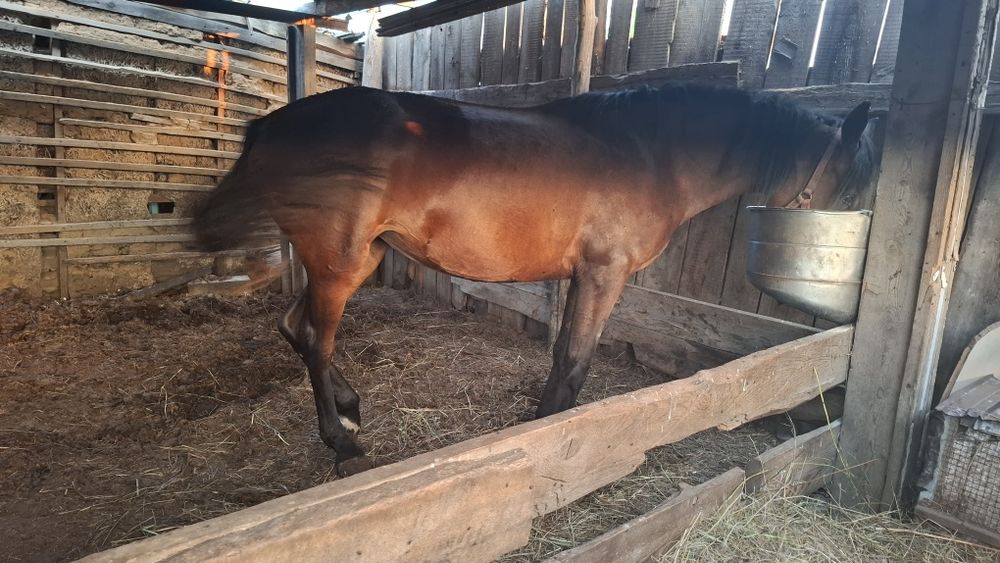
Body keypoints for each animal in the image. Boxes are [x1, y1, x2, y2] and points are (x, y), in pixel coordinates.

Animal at [192, 82, 877, 476]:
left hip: (349, 261)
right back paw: (344, 444)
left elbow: (562, 354)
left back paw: (353, 410)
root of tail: (272, 125)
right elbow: (574, 360)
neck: (652, 152)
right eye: (851, 188)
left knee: (294, 326)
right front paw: (554, 437)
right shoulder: (604, 273)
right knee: (315, 339)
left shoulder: (581, 275)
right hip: (337, 262)